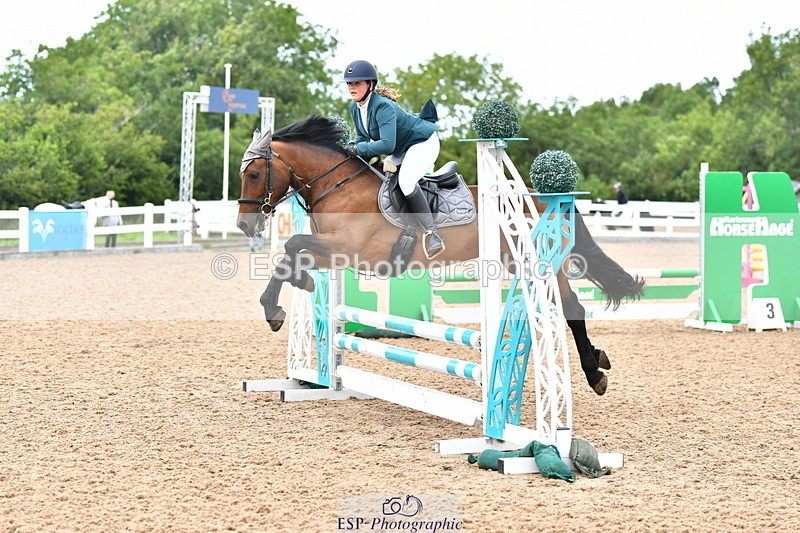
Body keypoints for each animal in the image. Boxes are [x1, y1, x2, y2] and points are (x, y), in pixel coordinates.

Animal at [236, 115, 644, 395]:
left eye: (254, 174)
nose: (244, 225)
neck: (338, 188)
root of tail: (541, 198)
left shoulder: (348, 248)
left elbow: (291, 245)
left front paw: (284, 299)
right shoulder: (336, 254)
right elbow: (291, 255)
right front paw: (284, 299)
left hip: (539, 263)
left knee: (572, 308)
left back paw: (595, 374)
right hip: (517, 261)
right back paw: (599, 359)